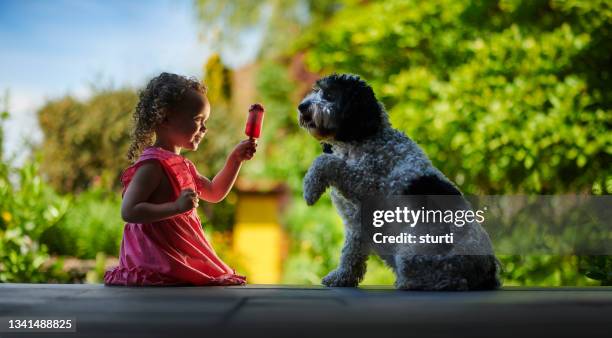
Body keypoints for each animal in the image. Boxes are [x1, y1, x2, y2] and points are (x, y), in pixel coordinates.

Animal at [298, 74, 500, 290]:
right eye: (316, 90)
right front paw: (341, 278)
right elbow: (350, 255)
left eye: (329, 95)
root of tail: (487, 270)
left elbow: (325, 161)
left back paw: (411, 282)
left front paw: (310, 189)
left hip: (413, 251)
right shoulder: (356, 226)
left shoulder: (367, 183)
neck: (365, 136)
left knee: (449, 281)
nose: (302, 106)